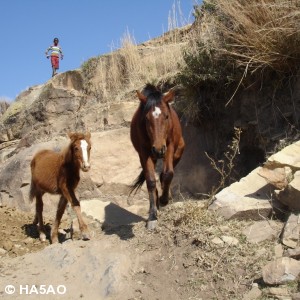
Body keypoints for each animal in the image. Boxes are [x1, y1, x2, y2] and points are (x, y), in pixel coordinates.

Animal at [129, 84, 184, 230]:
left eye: (166, 116)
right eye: (146, 119)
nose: (158, 149)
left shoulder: (169, 147)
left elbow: (168, 174)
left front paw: (164, 199)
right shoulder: (145, 153)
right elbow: (151, 181)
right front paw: (153, 215)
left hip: (177, 151)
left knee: (165, 174)